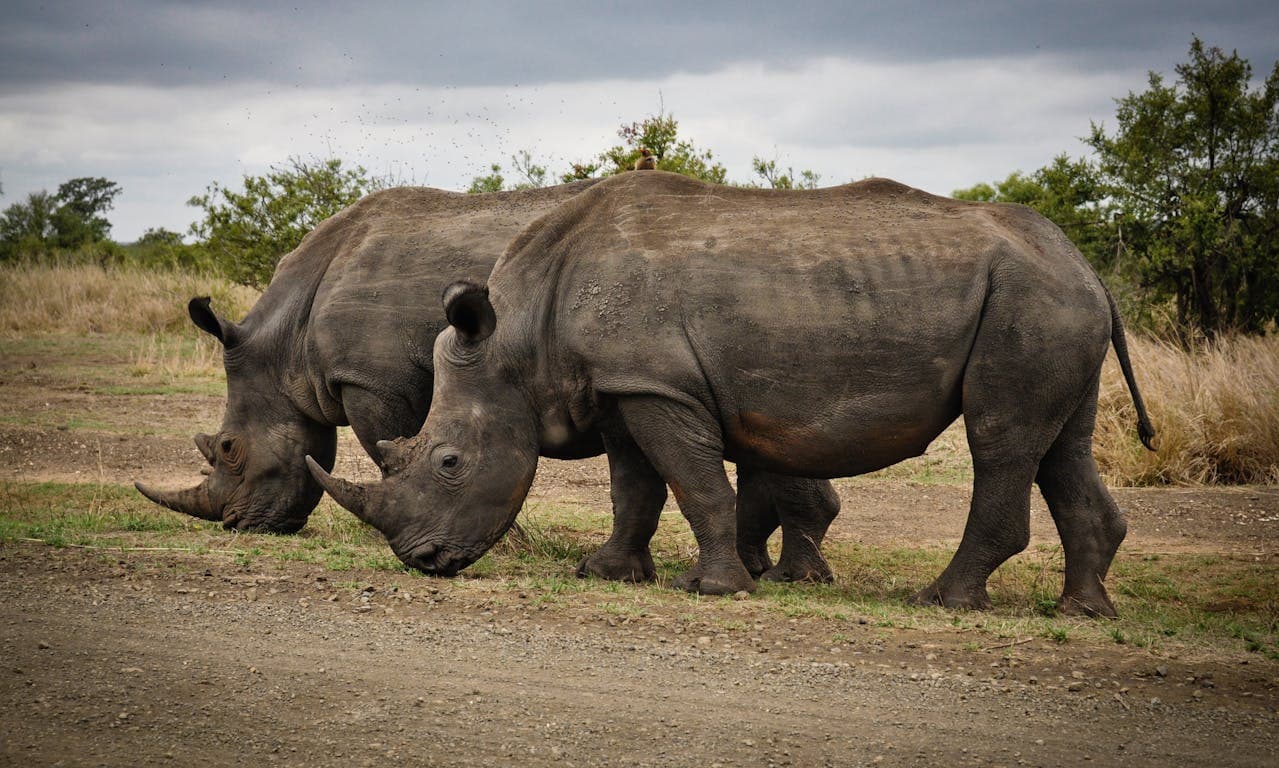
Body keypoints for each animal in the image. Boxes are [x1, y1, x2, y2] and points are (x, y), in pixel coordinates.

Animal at [135, 180, 838, 582]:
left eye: (229, 450)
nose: (235, 524)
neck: (286, 341)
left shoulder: (372, 381)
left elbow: (391, 449)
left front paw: (510, 544)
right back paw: (769, 567)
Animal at [309, 171, 1156, 616]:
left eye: (448, 462)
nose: (422, 560)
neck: (518, 338)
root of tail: (1087, 268)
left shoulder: (659, 387)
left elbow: (693, 483)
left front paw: (713, 588)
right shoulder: (624, 387)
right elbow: (634, 488)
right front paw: (606, 573)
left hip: (1030, 304)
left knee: (999, 439)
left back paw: (943, 600)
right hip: (1048, 303)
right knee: (1059, 445)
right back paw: (1082, 611)